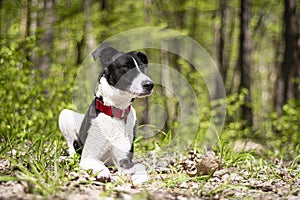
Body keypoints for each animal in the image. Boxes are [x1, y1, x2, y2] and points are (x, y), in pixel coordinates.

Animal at [57, 47, 154, 184]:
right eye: (126, 67)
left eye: (142, 67)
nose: (149, 84)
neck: (115, 110)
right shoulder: (88, 156)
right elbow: (98, 163)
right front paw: (103, 172)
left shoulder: (124, 161)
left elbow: (140, 165)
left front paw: (140, 177)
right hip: (65, 115)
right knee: (72, 149)